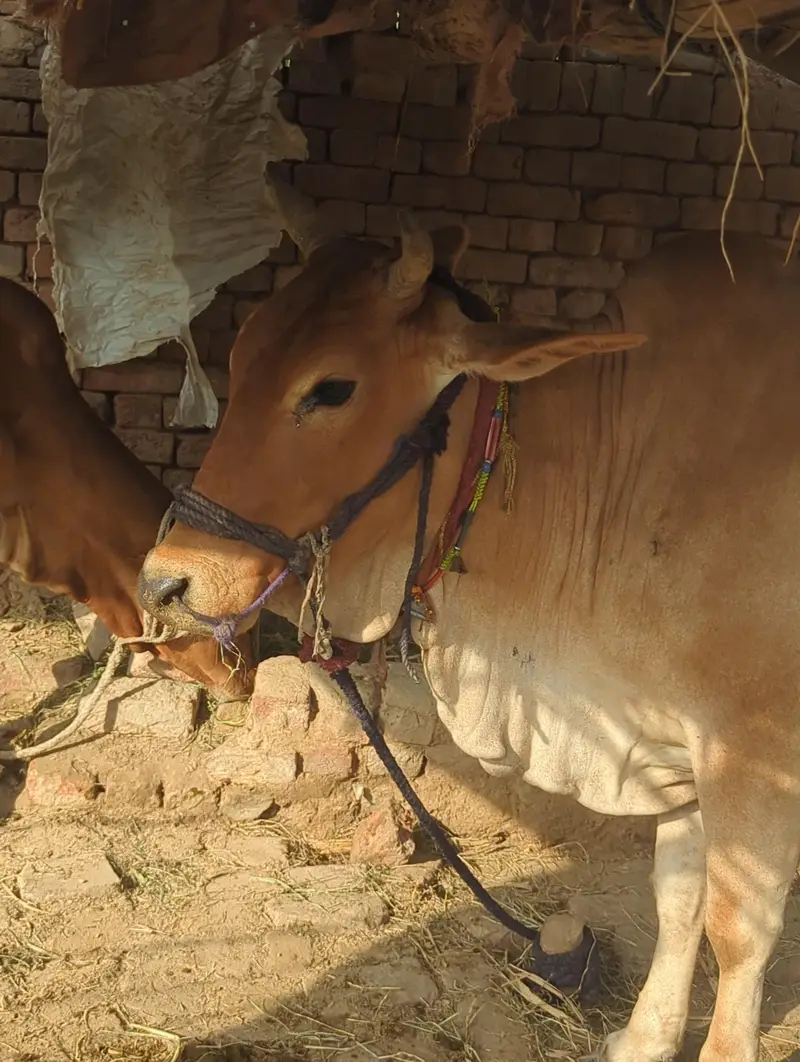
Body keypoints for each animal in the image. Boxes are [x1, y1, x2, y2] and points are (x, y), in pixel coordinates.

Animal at [137, 209, 800, 1062]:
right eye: (241, 354)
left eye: (331, 388)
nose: (166, 581)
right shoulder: (676, 741)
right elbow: (678, 896)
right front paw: (647, 1038)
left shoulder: (752, 750)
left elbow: (738, 928)